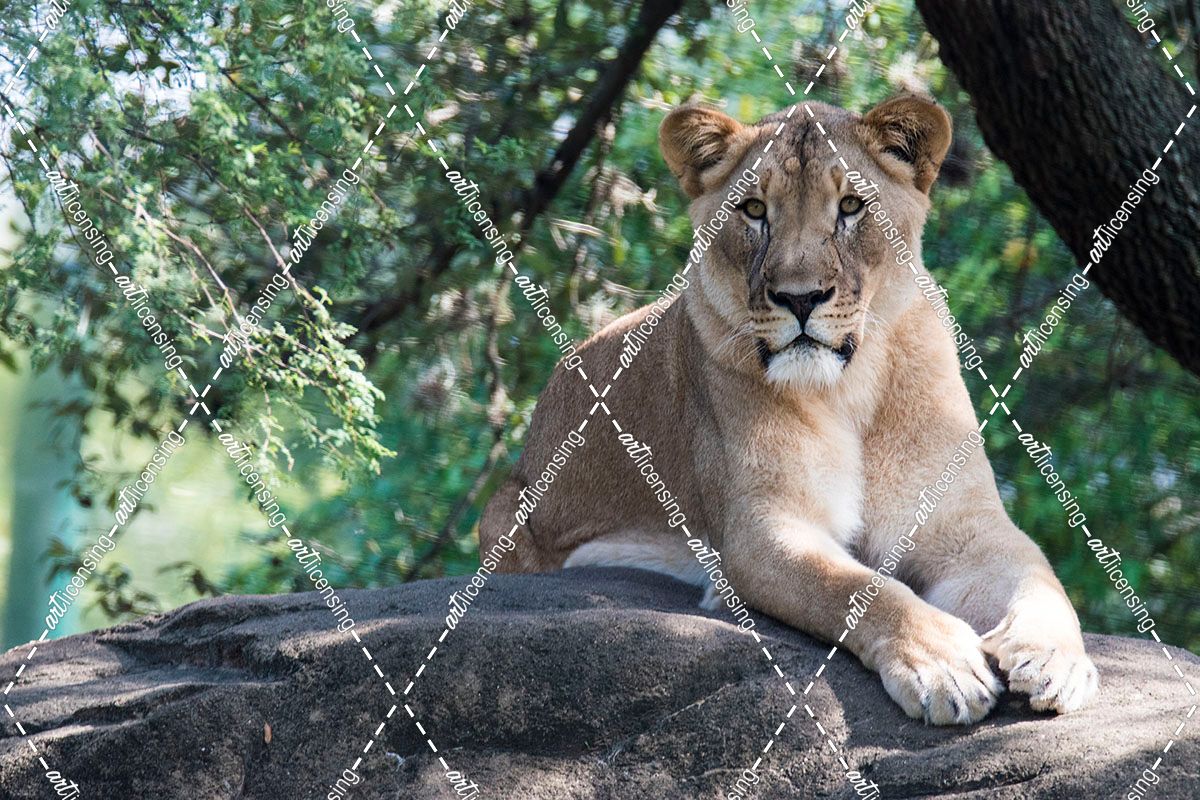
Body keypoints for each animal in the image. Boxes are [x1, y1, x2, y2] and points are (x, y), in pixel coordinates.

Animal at [479, 95, 1099, 724]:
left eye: (850, 206)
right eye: (754, 210)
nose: (800, 299)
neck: (851, 390)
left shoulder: (966, 527)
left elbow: (1041, 578)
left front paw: (1056, 661)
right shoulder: (764, 529)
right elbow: (858, 590)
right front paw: (942, 665)